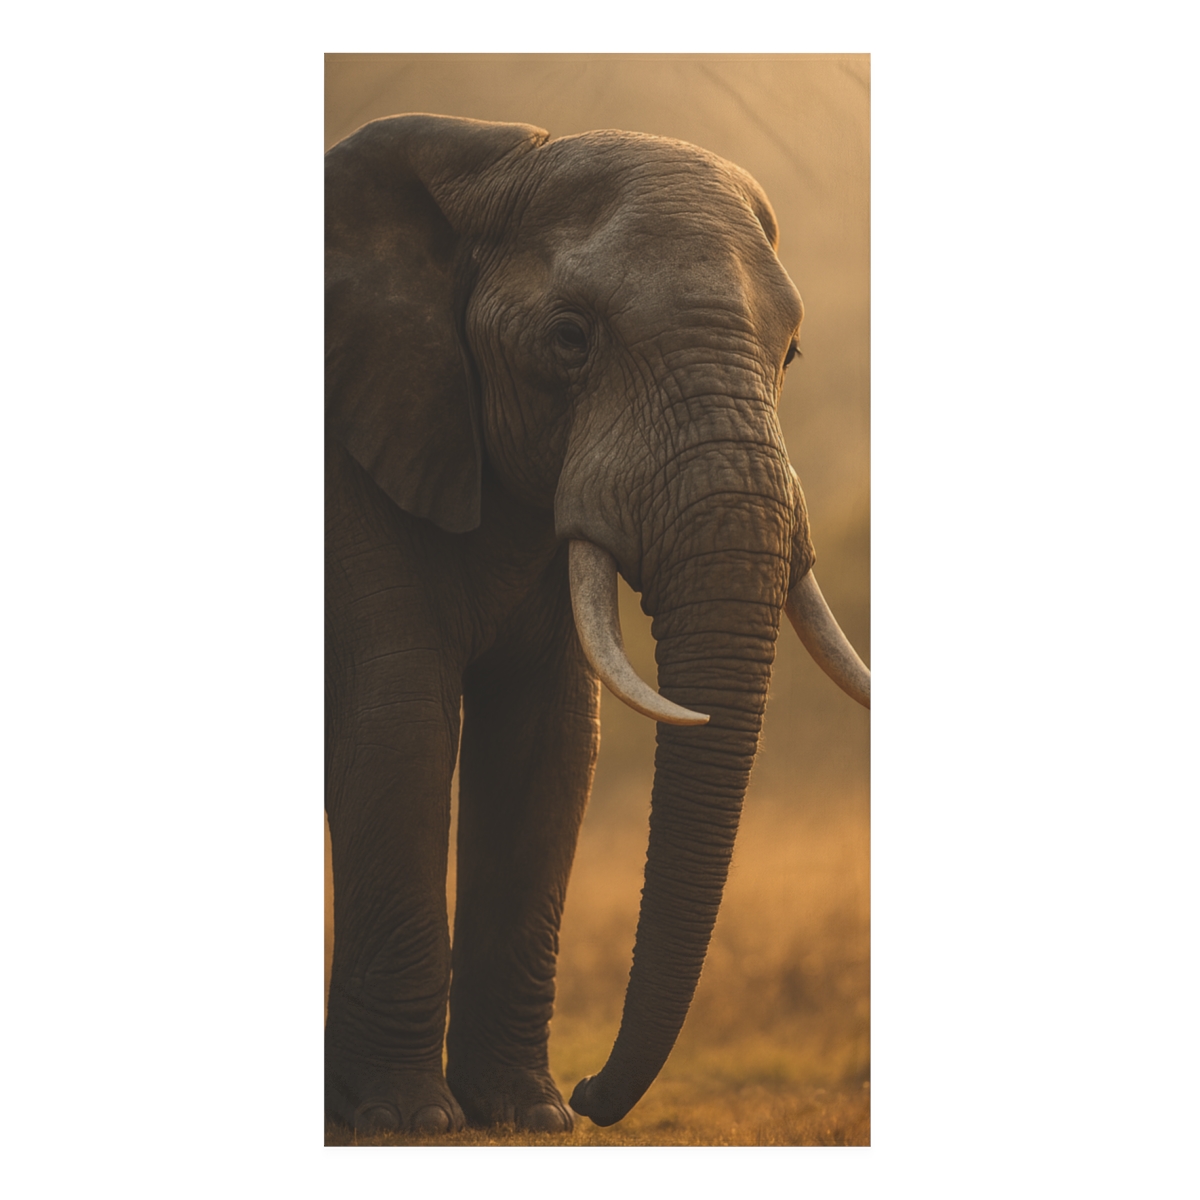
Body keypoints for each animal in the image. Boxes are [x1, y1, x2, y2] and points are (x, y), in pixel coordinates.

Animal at [324, 113, 870, 1135]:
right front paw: (408, 1122)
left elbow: (548, 744)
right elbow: (397, 726)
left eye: (789, 356)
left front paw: (527, 1117)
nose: (592, 1095)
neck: (492, 156)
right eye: (570, 340)